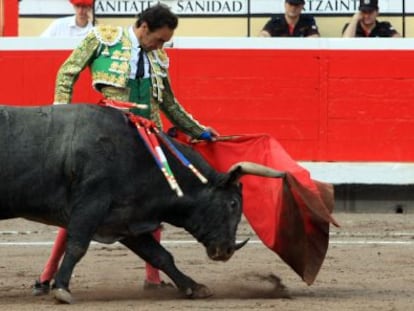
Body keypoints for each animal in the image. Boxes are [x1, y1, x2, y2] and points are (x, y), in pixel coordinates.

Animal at [0, 104, 278, 302]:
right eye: (233, 204)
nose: (226, 250)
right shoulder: (90, 206)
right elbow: (77, 246)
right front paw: (62, 289)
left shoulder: (125, 220)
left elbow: (160, 255)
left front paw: (194, 287)